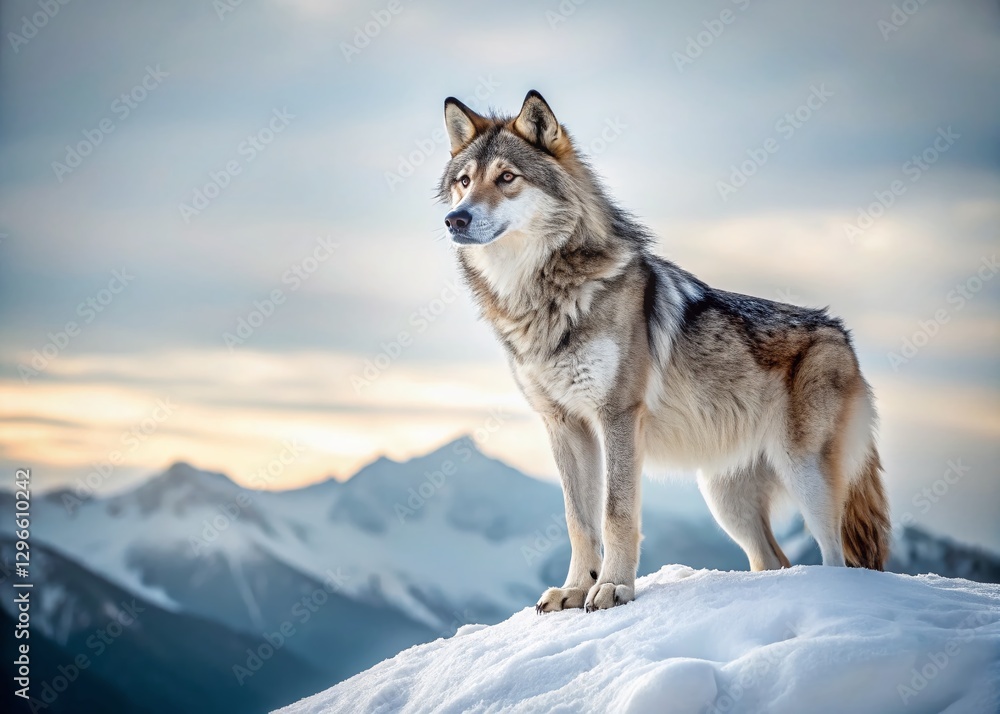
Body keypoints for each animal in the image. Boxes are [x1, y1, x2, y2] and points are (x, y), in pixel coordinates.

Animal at [438, 90, 890, 613]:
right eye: (464, 182)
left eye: (507, 177)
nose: (455, 219)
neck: (541, 299)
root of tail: (840, 332)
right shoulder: (563, 425)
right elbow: (578, 521)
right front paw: (574, 590)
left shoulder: (617, 415)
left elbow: (615, 514)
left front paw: (613, 588)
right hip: (725, 499)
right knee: (774, 560)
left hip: (805, 476)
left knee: (837, 559)